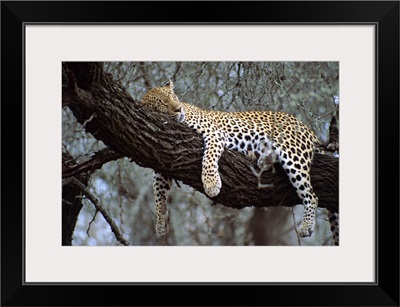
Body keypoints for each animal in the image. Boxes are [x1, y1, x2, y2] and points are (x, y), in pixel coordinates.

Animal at [142, 80, 340, 247]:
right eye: (162, 103)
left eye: (174, 97)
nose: (179, 109)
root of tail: (308, 129)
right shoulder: (160, 158)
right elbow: (158, 191)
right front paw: (160, 223)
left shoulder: (214, 133)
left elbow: (209, 158)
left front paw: (211, 184)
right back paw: (263, 159)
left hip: (293, 153)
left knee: (312, 194)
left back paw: (306, 225)